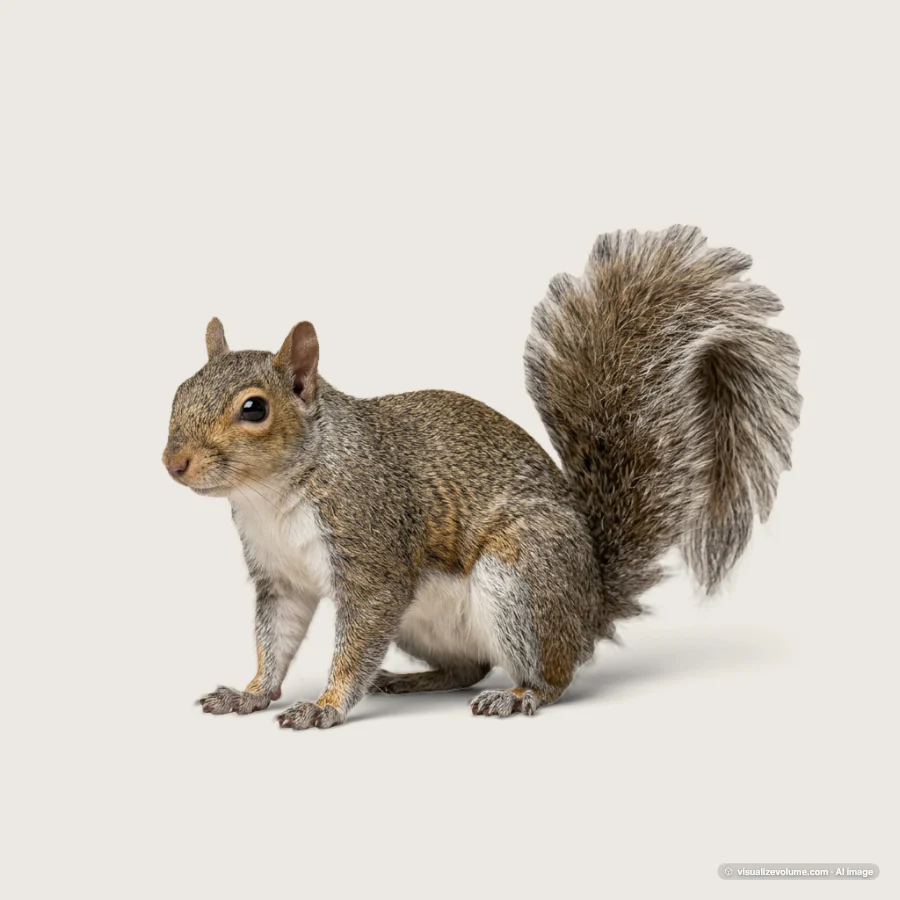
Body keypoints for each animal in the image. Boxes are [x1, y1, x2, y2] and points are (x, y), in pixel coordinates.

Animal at [163, 225, 801, 729]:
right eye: (179, 390)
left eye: (254, 409)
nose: (174, 463)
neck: (270, 495)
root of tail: (590, 606)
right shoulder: (280, 578)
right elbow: (276, 640)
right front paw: (250, 694)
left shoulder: (372, 553)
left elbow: (355, 640)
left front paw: (326, 705)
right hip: (426, 623)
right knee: (468, 666)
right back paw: (411, 681)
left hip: (520, 580)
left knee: (551, 675)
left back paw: (518, 696)